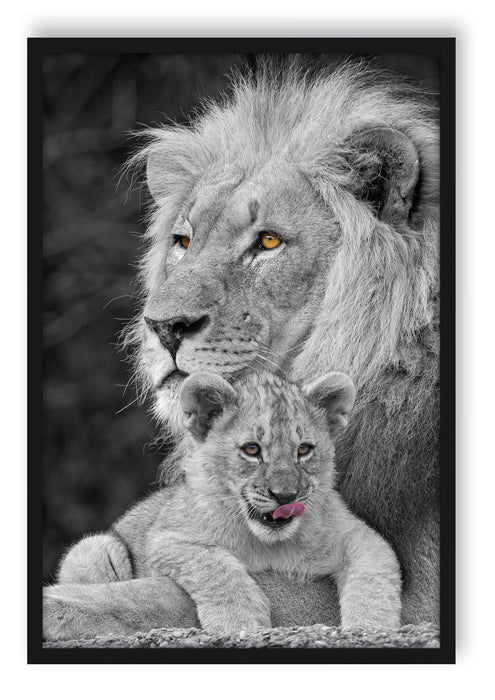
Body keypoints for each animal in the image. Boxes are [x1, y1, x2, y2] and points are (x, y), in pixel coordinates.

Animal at [44, 370, 401, 640]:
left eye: (304, 449)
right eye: (252, 449)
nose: (285, 496)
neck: (270, 545)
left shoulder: (358, 535)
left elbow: (375, 577)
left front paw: (372, 628)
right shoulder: (167, 538)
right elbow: (214, 564)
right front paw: (240, 620)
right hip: (94, 548)